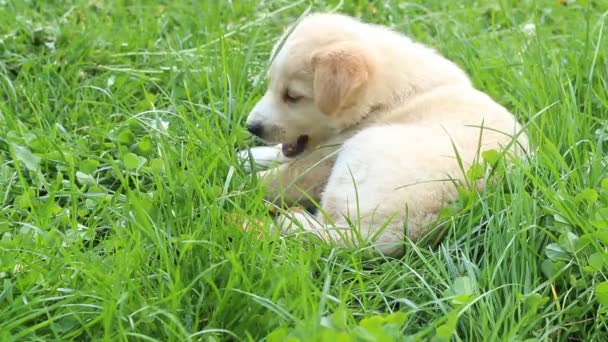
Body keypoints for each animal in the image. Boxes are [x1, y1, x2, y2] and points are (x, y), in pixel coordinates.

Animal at [238, 12, 528, 256]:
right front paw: (251, 156)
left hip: (361, 151)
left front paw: (234, 182)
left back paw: (294, 221)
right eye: (271, 85)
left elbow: (273, 180)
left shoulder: (321, 164)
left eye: (292, 97)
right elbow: (282, 155)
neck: (381, 100)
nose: (251, 126)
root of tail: (395, 234)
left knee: (329, 227)